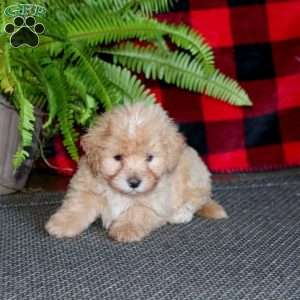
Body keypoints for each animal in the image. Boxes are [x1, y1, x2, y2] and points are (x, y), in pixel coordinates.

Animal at [45, 102, 226, 243]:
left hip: (195, 177)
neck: (119, 192)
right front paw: (62, 224)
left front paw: (126, 229)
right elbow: (77, 206)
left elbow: (136, 211)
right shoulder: (86, 189)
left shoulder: (155, 202)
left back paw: (180, 214)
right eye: (118, 157)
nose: (134, 183)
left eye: (149, 158)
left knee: (196, 200)